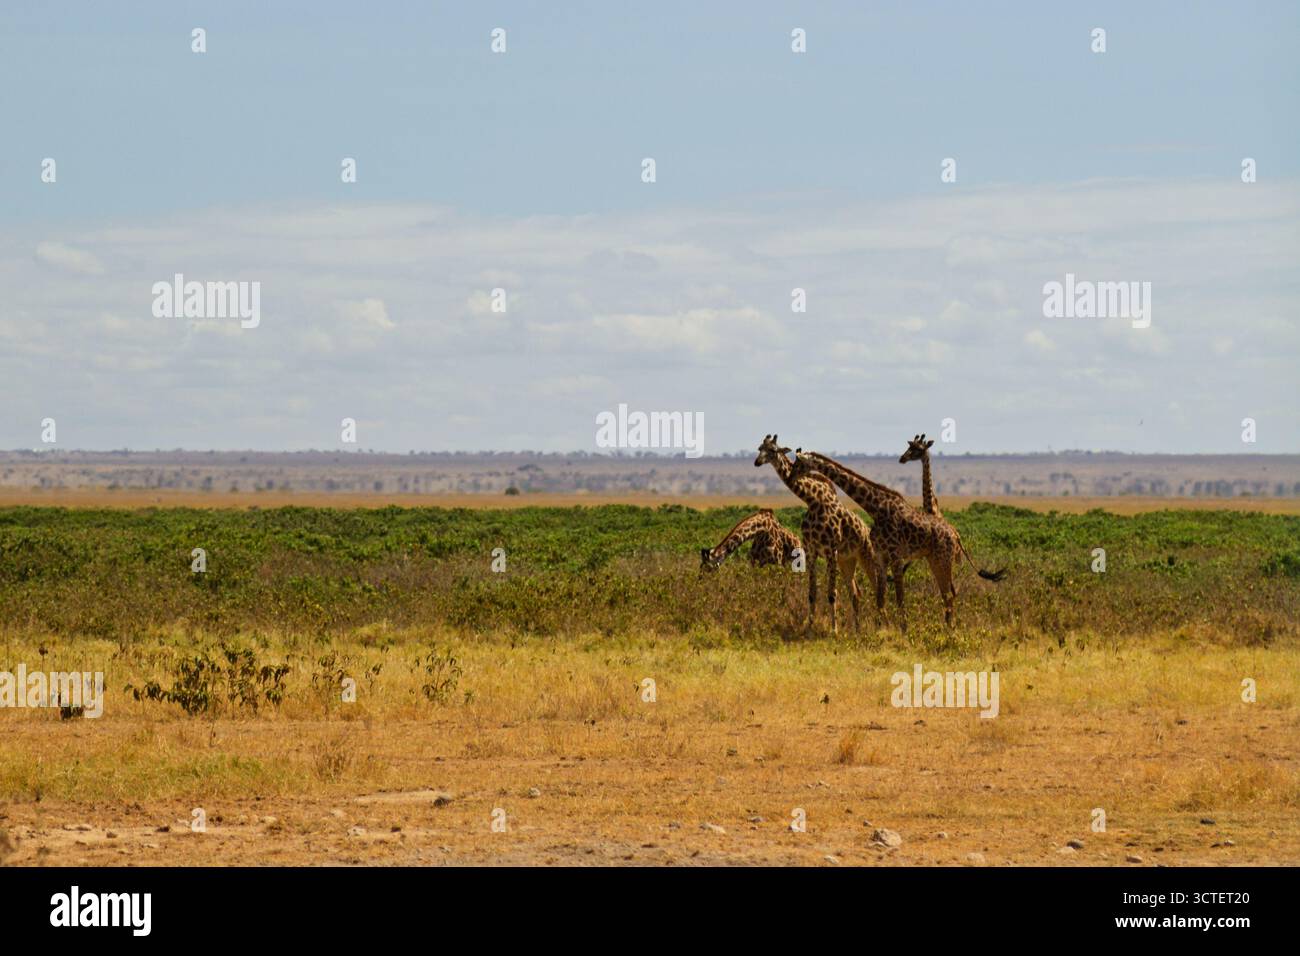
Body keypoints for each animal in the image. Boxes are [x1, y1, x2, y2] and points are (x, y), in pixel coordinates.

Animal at [754, 435, 881, 633]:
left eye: (773, 450)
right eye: (759, 448)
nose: (757, 462)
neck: (812, 500)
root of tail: (866, 530)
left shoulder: (830, 551)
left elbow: (832, 593)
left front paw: (834, 630)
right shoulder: (812, 551)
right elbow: (812, 592)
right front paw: (809, 626)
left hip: (866, 554)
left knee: (877, 589)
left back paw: (884, 626)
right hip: (847, 560)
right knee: (855, 592)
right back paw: (857, 630)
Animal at [791, 449, 1005, 629]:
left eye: (798, 463)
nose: (792, 477)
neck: (876, 508)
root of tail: (956, 534)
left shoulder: (895, 556)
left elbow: (900, 596)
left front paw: (903, 629)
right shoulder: (881, 556)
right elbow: (880, 597)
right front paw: (881, 629)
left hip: (943, 558)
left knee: (949, 593)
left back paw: (950, 629)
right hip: (934, 559)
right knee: (949, 593)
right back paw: (949, 627)